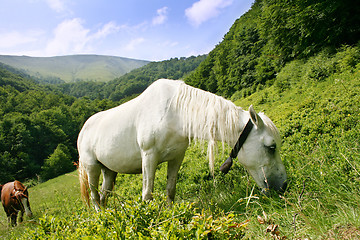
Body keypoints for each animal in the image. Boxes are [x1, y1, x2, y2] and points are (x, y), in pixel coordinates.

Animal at [79, 79, 286, 210]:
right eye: (271, 147)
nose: (283, 186)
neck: (175, 111)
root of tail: (82, 131)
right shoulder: (149, 156)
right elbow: (147, 194)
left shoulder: (177, 157)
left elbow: (171, 190)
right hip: (92, 168)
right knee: (95, 197)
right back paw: (101, 218)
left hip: (109, 171)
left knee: (104, 196)